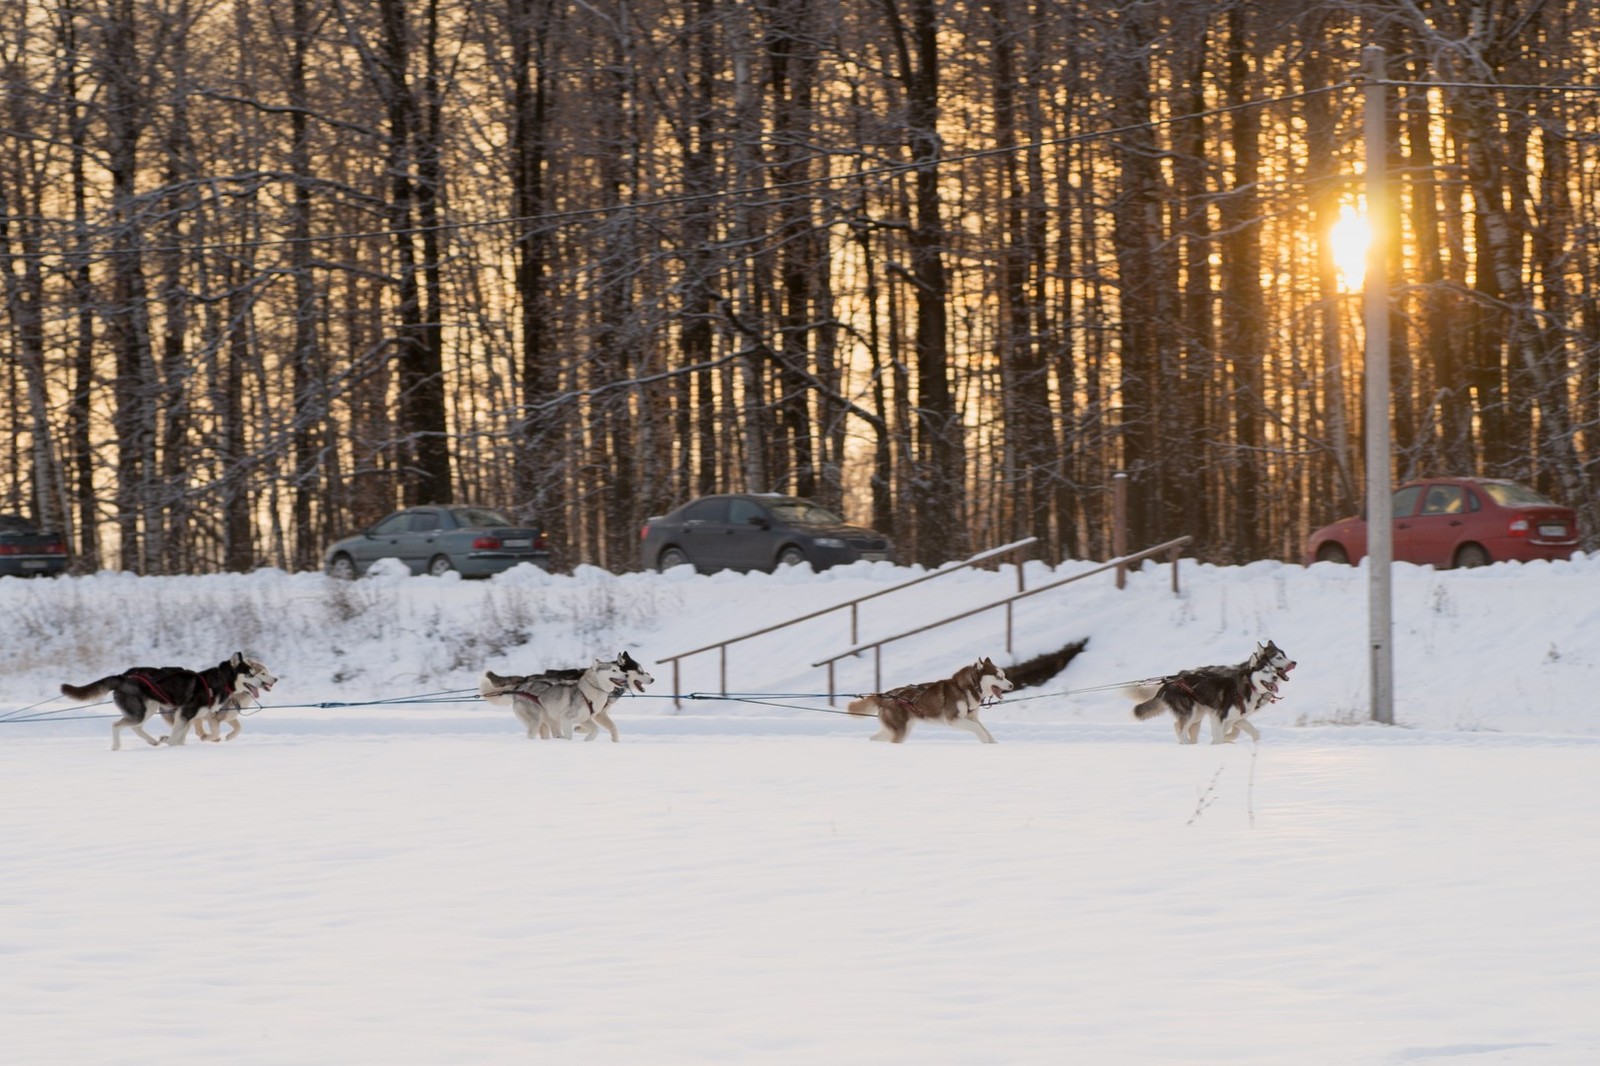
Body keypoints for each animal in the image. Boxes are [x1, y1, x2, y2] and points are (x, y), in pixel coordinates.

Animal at [61, 646, 281, 745]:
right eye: (251, 674)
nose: (269, 681)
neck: (217, 682)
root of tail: (123, 677)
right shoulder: (186, 714)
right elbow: (180, 736)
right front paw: (170, 740)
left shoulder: (187, 716)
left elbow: (186, 736)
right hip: (141, 711)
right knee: (116, 725)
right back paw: (116, 748)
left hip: (149, 709)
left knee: (136, 727)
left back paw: (152, 741)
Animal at [476, 653, 640, 736]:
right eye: (614, 670)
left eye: (620, 669)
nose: (626, 675)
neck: (589, 693)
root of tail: (520, 687)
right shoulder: (568, 719)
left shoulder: (587, 719)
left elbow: (594, 731)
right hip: (536, 721)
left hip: (551, 720)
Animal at [838, 653, 1011, 742]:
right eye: (998, 677)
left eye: (1004, 675)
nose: (1012, 685)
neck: (966, 688)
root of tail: (885, 695)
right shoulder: (954, 719)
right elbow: (978, 729)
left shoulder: (972, 717)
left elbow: (983, 729)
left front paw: (992, 743)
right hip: (900, 731)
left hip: (897, 729)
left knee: (875, 738)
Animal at [1120, 633, 1292, 742]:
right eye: (1279, 657)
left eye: (1285, 655)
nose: (1294, 662)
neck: (1247, 685)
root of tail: (1171, 681)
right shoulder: (1220, 717)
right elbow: (1221, 736)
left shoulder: (1235, 718)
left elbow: (1251, 733)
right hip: (1191, 713)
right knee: (1180, 729)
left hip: (1197, 715)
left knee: (1182, 728)